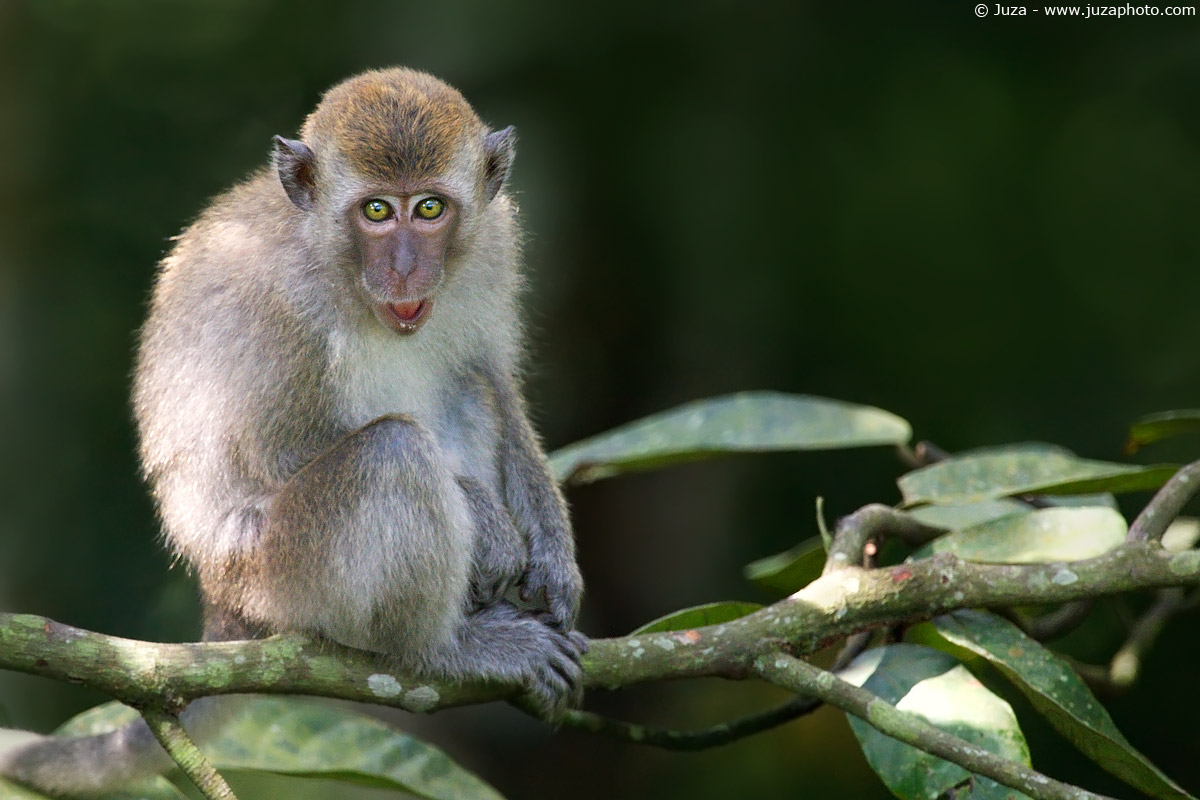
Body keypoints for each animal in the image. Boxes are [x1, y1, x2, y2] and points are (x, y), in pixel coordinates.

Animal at [0, 67, 585, 796]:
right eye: (375, 211)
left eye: (429, 209)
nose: (403, 268)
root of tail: (225, 601)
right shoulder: (277, 299)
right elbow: (275, 449)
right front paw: (488, 525)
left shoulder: (497, 244)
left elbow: (495, 383)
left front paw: (555, 562)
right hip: (281, 571)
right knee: (392, 451)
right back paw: (445, 649)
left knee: (465, 389)